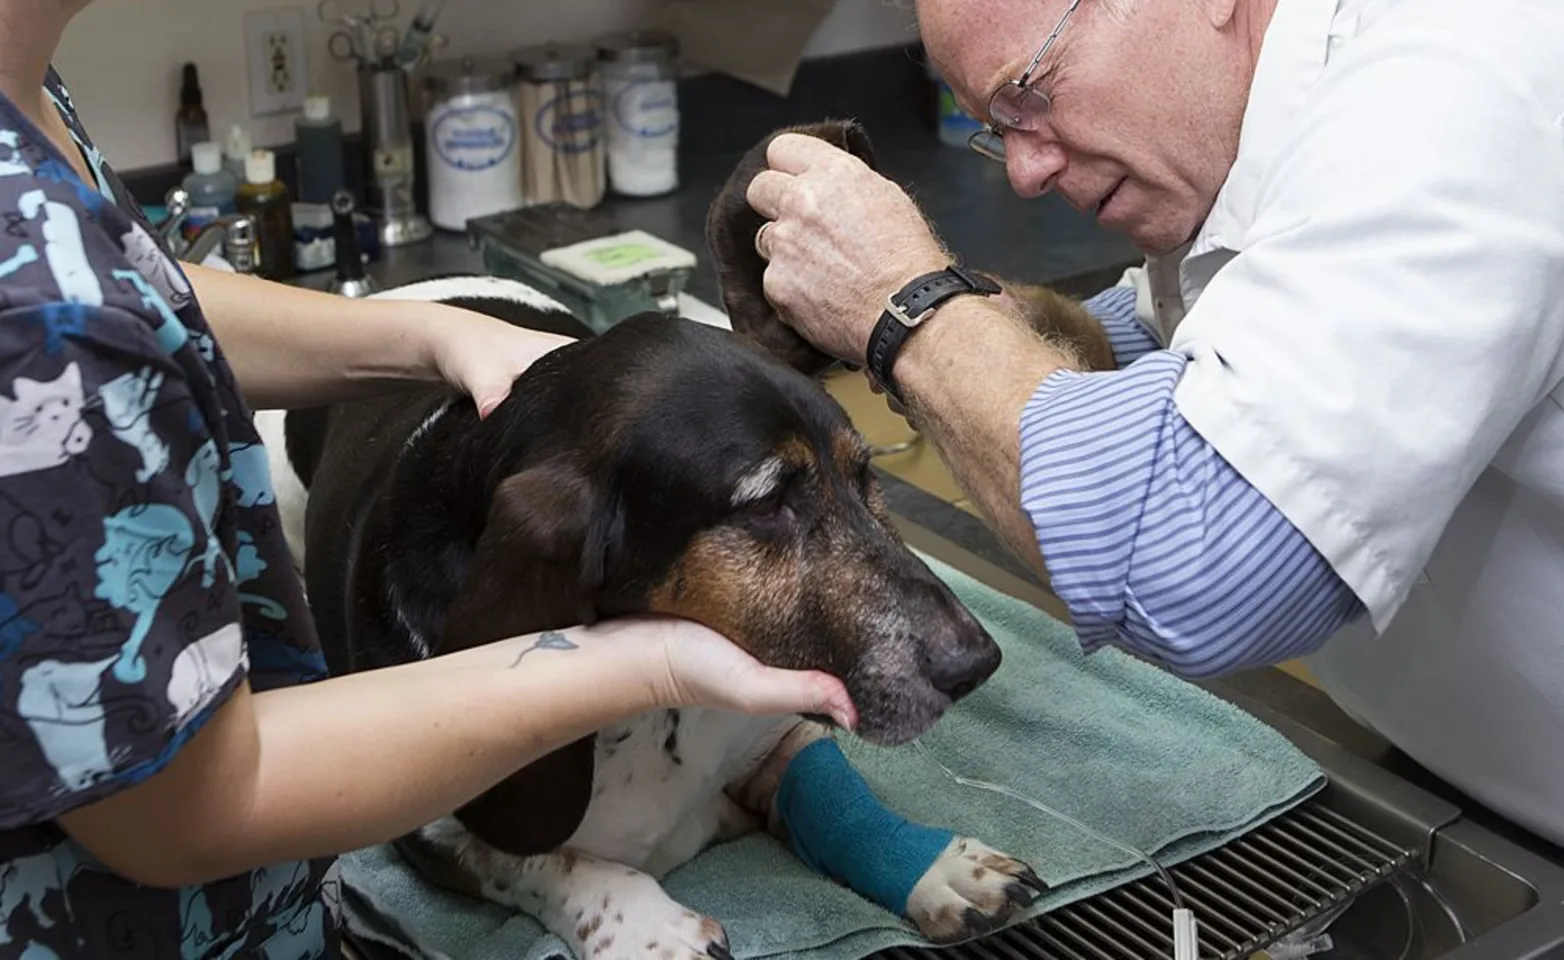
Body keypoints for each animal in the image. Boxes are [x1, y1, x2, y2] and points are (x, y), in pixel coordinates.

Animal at [259, 125, 1113, 960]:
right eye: (767, 502)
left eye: (864, 474)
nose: (977, 664)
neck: (650, 718)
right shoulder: (435, 827)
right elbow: (548, 861)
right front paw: (645, 925)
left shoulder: (778, 732)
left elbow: (827, 789)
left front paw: (936, 867)